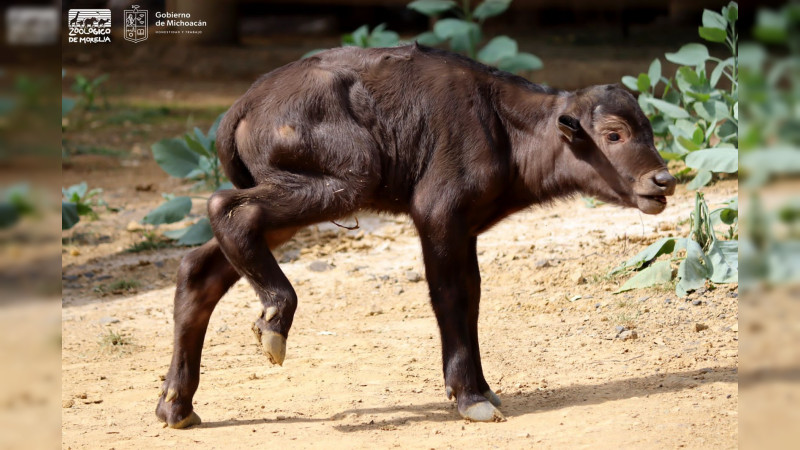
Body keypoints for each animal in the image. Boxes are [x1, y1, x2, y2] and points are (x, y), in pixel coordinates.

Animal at [155, 44, 676, 428]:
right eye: (613, 134)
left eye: (649, 131)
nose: (663, 181)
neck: (503, 125)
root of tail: (244, 105)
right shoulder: (436, 216)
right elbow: (449, 296)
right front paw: (470, 398)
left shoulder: (466, 228)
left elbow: (471, 297)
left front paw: (484, 389)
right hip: (348, 178)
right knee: (226, 209)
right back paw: (273, 325)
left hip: (296, 201)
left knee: (200, 267)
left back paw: (176, 406)